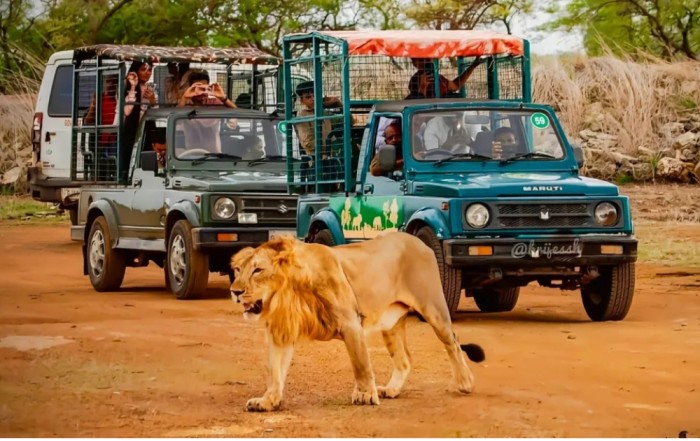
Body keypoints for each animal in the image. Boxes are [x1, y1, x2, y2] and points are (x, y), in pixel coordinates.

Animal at [229, 231, 485, 412]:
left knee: (453, 342)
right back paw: (391, 389)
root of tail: (419, 242)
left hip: (434, 308)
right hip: (390, 323)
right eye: (238, 270)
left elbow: (360, 363)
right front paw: (267, 401)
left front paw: (364, 395)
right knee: (405, 359)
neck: (287, 292)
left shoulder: (350, 322)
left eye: (258, 270)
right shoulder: (281, 331)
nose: (235, 291)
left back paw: (464, 383)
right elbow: (274, 371)